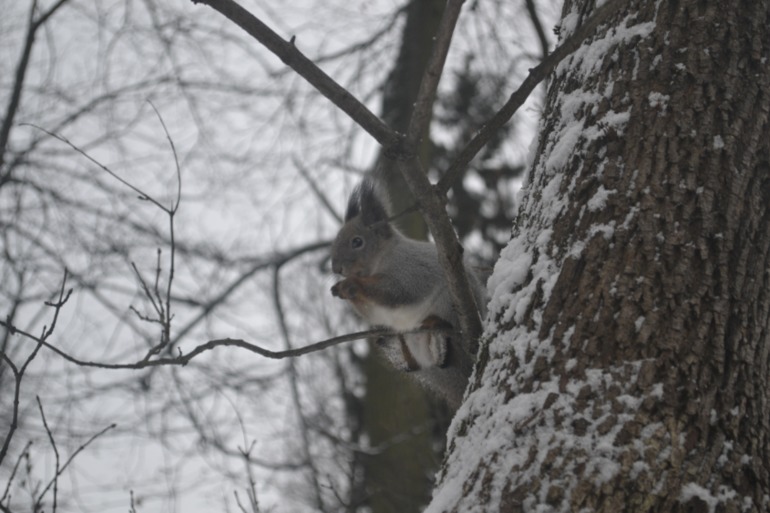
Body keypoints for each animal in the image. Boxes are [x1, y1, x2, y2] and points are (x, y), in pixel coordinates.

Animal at [330, 177, 487, 410]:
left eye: (357, 241)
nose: (336, 268)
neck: (381, 259)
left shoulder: (410, 271)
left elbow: (396, 292)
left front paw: (353, 285)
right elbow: (375, 313)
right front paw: (341, 290)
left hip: (449, 308)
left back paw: (435, 328)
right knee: (417, 360)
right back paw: (405, 354)